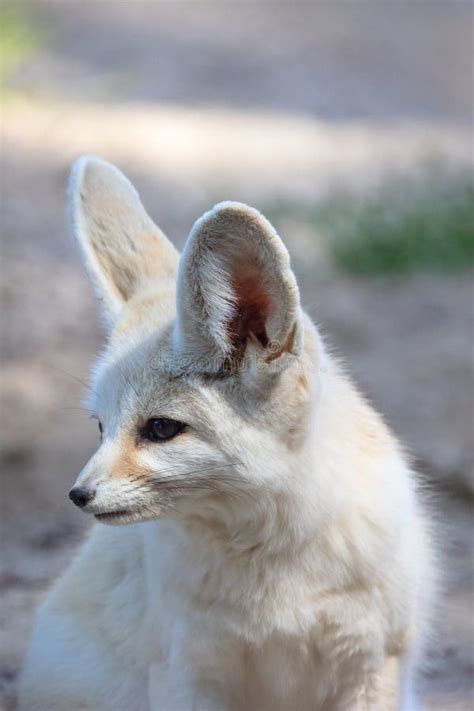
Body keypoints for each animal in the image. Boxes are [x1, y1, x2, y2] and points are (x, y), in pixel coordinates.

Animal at [18, 159, 434, 708]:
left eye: (160, 428)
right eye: (101, 426)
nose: (77, 495)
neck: (280, 570)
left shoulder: (373, 665)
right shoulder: (190, 673)